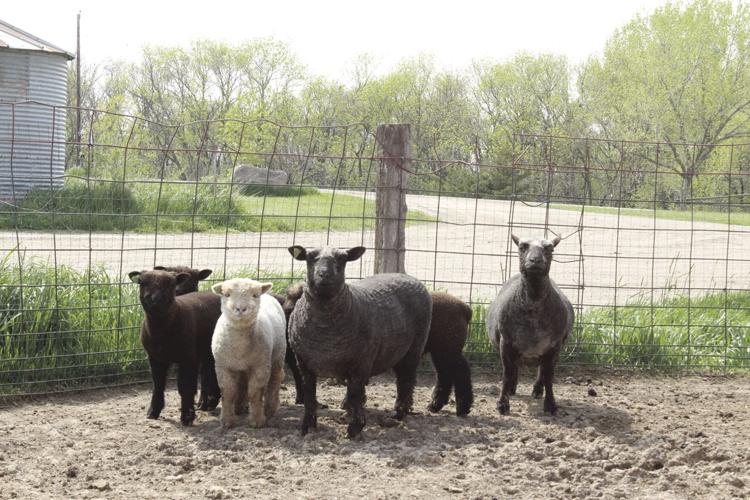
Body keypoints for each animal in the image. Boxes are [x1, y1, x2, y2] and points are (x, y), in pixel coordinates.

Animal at [128, 269, 222, 425]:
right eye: (142, 282)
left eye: (171, 284)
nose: (155, 299)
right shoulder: (155, 357)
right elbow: (158, 385)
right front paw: (153, 412)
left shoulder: (188, 358)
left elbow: (186, 387)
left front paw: (187, 417)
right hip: (209, 351)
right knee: (213, 371)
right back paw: (209, 403)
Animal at [211, 278, 286, 428]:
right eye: (227, 295)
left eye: (255, 295)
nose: (240, 309)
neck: (240, 346)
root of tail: (268, 295)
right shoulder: (223, 366)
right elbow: (228, 392)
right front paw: (227, 420)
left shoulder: (260, 366)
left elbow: (255, 393)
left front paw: (257, 420)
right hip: (243, 367)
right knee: (242, 384)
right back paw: (239, 407)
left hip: (278, 355)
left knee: (275, 380)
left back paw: (269, 409)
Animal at [282, 285, 473, 416]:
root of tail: (464, 308)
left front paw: (349, 404)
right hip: (441, 350)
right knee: (446, 374)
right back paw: (436, 406)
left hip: (447, 347)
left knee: (459, 371)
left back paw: (462, 407)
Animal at [288, 245, 432, 439]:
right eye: (310, 257)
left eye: (343, 258)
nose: (324, 275)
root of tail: (408, 276)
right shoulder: (304, 364)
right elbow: (310, 395)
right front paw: (307, 427)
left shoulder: (360, 362)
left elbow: (355, 392)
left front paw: (355, 428)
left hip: (414, 347)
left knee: (406, 380)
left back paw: (398, 413)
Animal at [486, 234, 574, 416]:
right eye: (522, 246)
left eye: (550, 248)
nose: (535, 261)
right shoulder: (506, 342)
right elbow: (507, 374)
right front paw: (502, 404)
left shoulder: (554, 345)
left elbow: (549, 376)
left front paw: (550, 404)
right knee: (515, 368)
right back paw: (512, 388)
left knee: (541, 370)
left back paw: (537, 390)